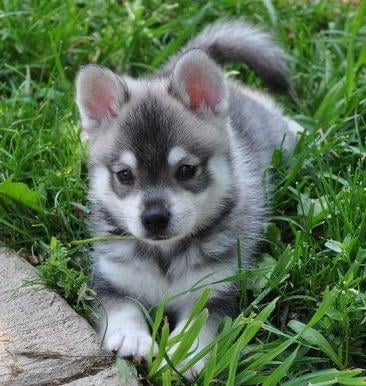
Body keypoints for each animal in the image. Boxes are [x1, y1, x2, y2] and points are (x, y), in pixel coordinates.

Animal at [75, 20, 304, 376]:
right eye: (124, 175)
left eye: (185, 170)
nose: (154, 218)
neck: (164, 256)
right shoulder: (111, 281)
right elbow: (122, 307)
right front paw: (132, 338)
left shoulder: (215, 289)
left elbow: (200, 322)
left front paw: (187, 352)